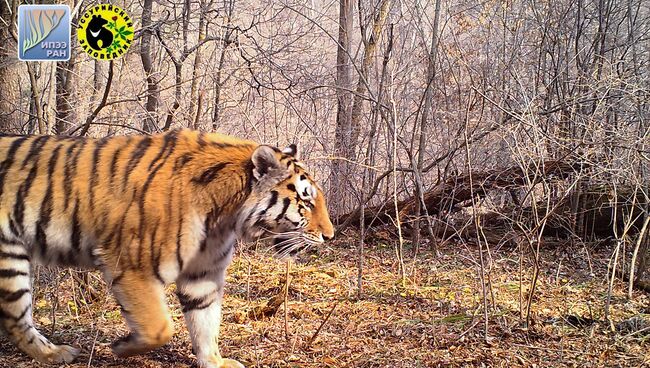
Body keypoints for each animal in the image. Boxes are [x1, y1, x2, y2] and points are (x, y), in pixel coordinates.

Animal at [0, 128, 334, 366]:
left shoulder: (203, 273)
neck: (224, 215)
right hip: (9, 257)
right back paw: (55, 354)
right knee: (15, 318)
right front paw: (121, 347)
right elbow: (160, 327)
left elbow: (205, 321)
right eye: (306, 200)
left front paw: (215, 361)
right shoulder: (132, 265)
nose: (329, 236)